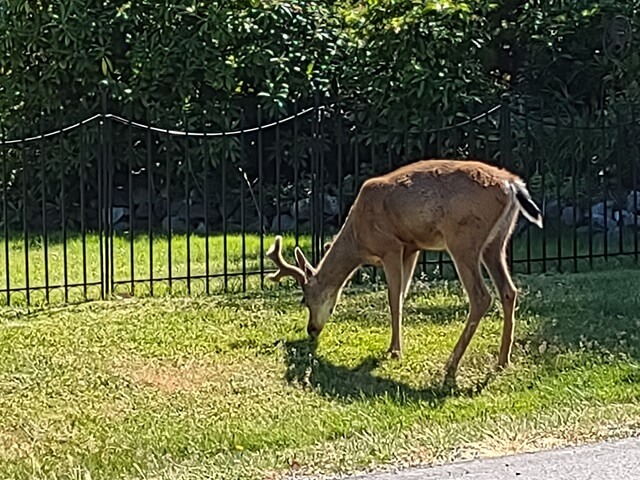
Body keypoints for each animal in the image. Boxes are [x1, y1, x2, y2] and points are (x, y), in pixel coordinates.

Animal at [264, 159, 540, 384]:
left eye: (304, 300)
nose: (311, 330)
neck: (358, 238)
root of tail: (511, 184)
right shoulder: (411, 248)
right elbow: (403, 295)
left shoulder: (391, 246)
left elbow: (393, 298)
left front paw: (394, 350)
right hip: (496, 243)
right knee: (508, 291)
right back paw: (502, 361)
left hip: (463, 238)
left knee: (481, 296)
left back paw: (451, 365)